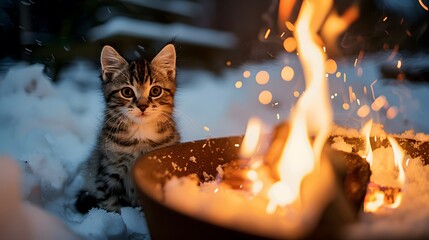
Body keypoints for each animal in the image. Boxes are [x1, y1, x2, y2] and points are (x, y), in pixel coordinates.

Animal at [75, 44, 179, 213]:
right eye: (127, 92)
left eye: (155, 91)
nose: (142, 106)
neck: (141, 133)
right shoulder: (108, 172)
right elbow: (111, 207)